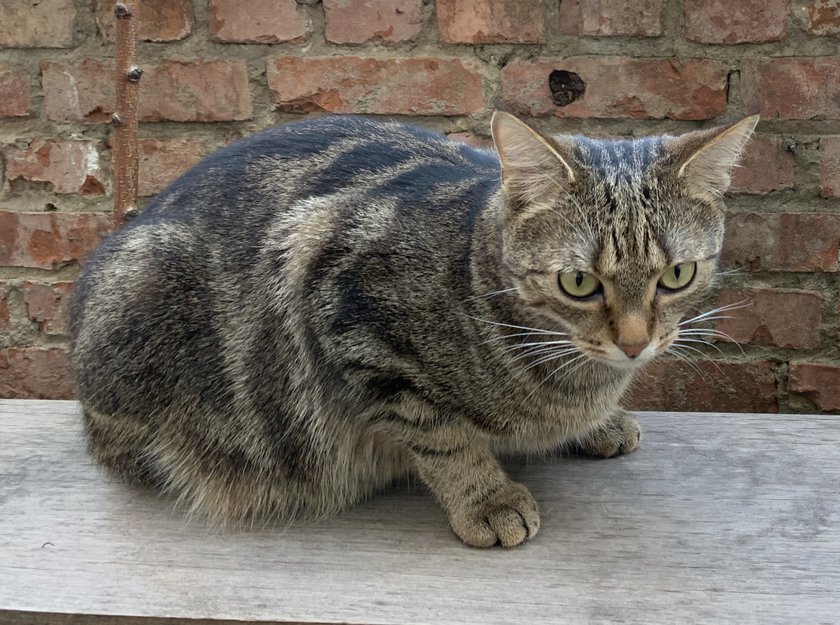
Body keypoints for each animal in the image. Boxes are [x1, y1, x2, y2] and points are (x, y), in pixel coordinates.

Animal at [69, 111, 758, 548]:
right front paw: (486, 499)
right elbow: (444, 437)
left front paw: (602, 424)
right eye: (579, 283)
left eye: (677, 274)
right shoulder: (353, 321)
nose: (636, 342)